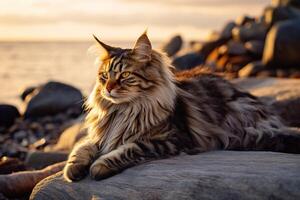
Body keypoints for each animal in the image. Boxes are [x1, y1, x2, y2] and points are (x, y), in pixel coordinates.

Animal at [63, 32, 300, 182]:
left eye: (125, 75)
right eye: (104, 76)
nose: (108, 88)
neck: (122, 112)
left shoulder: (170, 138)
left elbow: (128, 149)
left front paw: (99, 166)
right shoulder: (100, 135)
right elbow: (81, 148)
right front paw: (73, 169)